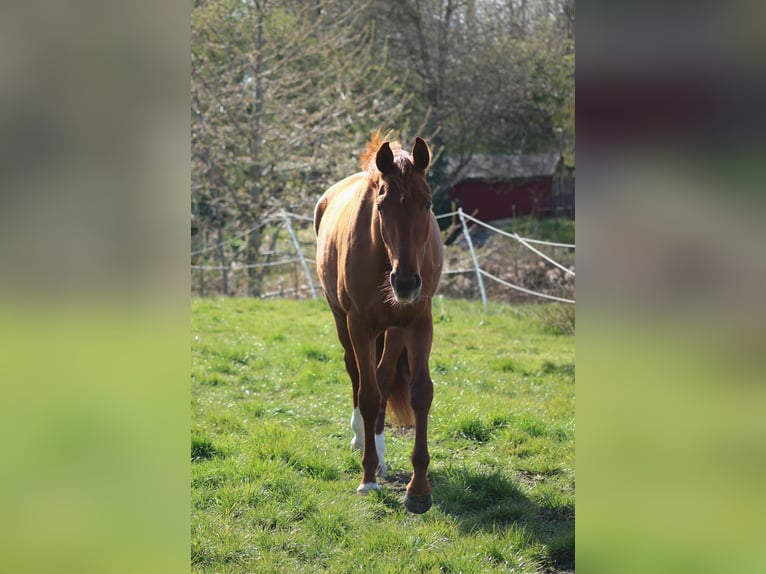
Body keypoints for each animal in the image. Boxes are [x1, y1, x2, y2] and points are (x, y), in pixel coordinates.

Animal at [313, 133, 443, 513]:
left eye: (427, 204)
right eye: (382, 207)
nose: (406, 282)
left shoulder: (418, 322)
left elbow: (420, 393)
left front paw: (419, 490)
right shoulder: (359, 324)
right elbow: (368, 395)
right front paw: (368, 477)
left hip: (395, 330)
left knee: (383, 378)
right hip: (342, 321)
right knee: (357, 374)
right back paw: (362, 439)